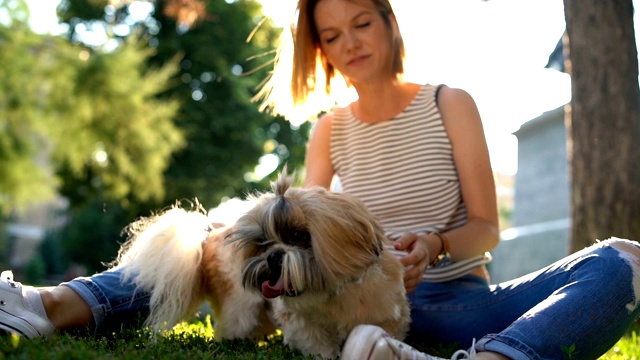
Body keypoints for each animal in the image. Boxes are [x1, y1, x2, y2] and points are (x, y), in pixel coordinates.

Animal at [111, 171, 410, 358]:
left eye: (299, 236)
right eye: (264, 242)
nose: (273, 256)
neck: (332, 294)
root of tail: (209, 238)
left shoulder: (384, 316)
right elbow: (318, 345)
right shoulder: (302, 322)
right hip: (241, 309)